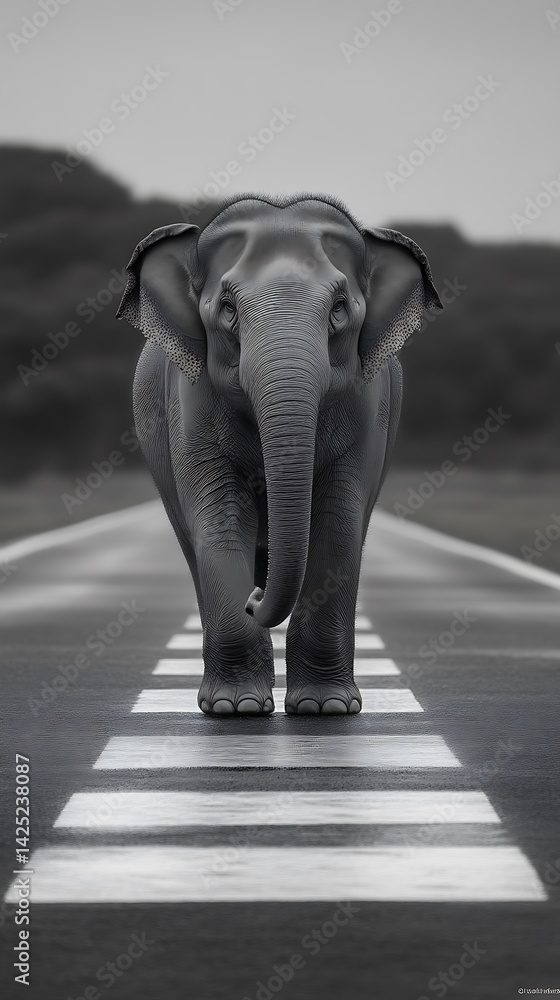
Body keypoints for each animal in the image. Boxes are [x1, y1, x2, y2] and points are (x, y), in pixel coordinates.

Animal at [116, 193, 442, 716]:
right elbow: (220, 517)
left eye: (339, 310)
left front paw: (325, 709)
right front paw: (238, 708)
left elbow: (339, 522)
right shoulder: (189, 398)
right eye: (227, 309)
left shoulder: (367, 405)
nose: (254, 599)